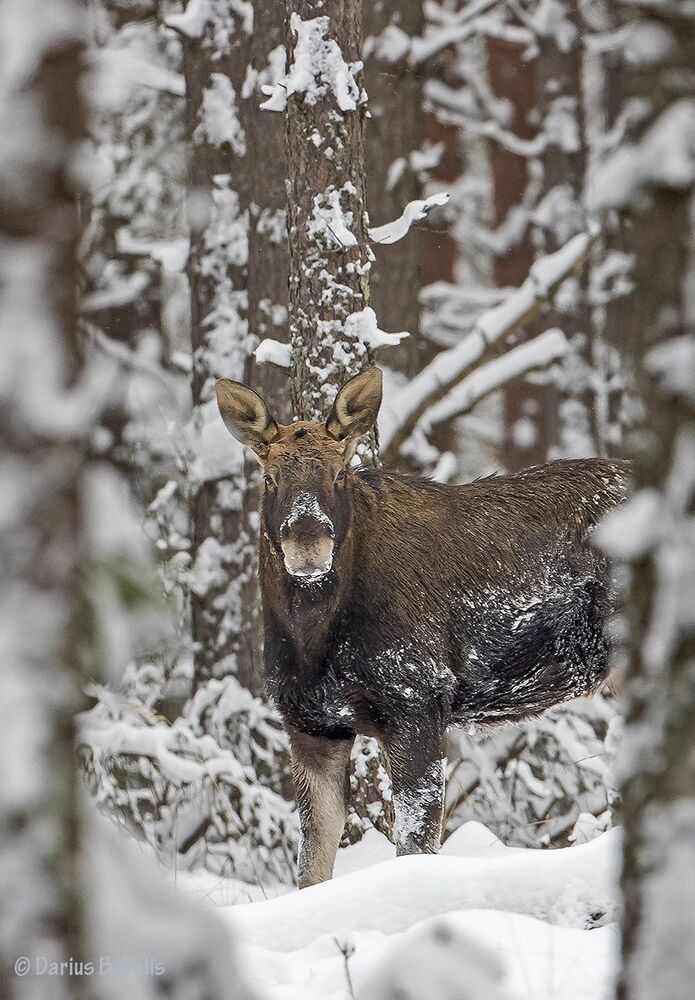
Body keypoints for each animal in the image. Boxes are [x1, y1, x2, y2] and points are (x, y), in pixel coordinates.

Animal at [215, 366, 627, 888]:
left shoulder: (418, 699)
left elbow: (414, 844)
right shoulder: (311, 723)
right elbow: (312, 863)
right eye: (269, 477)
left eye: (339, 473)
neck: (312, 636)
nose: (308, 544)